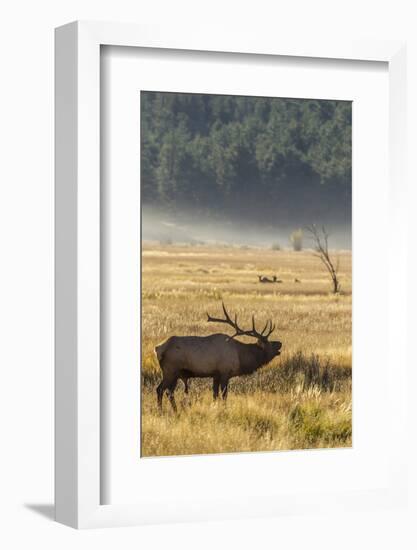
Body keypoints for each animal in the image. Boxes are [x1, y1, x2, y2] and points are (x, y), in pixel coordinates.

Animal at [154, 304, 282, 412]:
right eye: (268, 343)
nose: (280, 343)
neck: (241, 357)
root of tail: (158, 349)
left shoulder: (215, 374)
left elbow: (214, 395)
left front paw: (214, 407)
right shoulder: (225, 372)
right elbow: (224, 395)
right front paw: (225, 409)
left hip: (174, 374)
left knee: (169, 392)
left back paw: (175, 410)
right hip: (170, 370)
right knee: (160, 389)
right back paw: (161, 411)